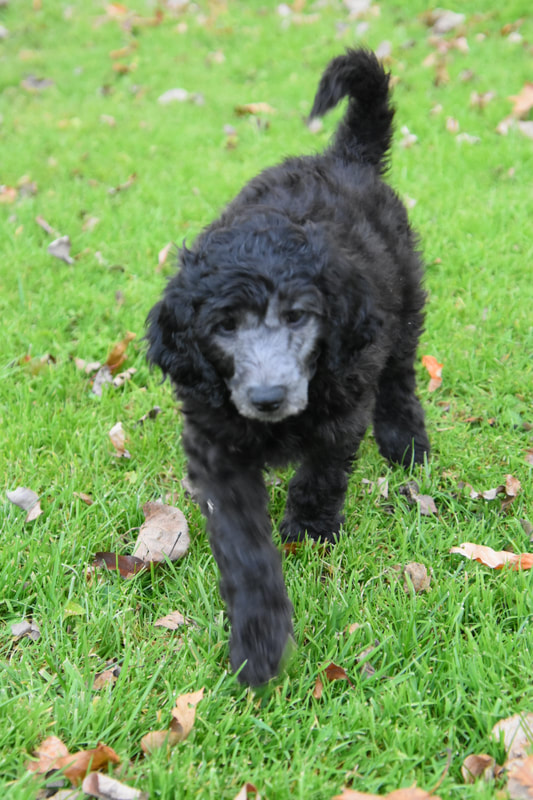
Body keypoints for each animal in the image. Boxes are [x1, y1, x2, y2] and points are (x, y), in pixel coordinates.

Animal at [148, 50, 430, 684]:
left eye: (299, 316)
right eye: (224, 327)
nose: (269, 398)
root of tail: (341, 158)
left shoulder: (343, 402)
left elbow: (320, 473)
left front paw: (310, 530)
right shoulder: (215, 444)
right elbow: (243, 546)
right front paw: (259, 641)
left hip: (402, 305)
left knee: (399, 376)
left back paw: (406, 443)